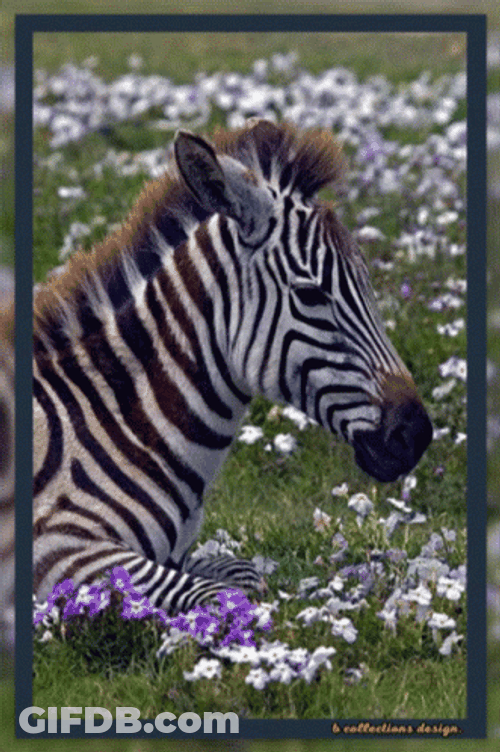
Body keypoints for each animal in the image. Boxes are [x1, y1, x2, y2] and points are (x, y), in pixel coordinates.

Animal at [33, 119, 432, 614]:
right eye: (311, 295)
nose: (416, 433)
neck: (120, 425)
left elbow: (243, 573)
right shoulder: (57, 551)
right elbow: (216, 593)